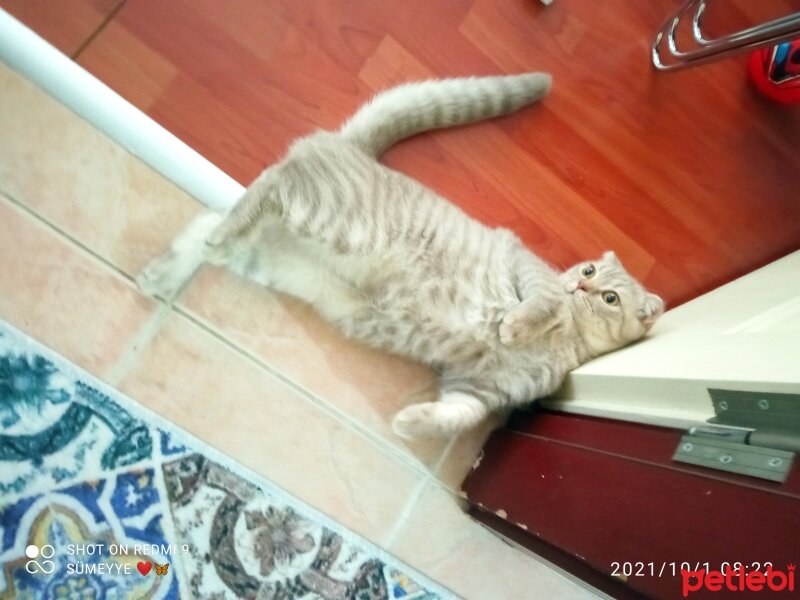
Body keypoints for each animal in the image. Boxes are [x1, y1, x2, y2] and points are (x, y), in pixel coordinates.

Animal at [138, 74, 664, 440]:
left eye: (611, 297)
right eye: (589, 271)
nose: (582, 285)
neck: (565, 343)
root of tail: (356, 149)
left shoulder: (481, 386)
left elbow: (457, 415)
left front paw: (413, 422)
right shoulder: (525, 265)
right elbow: (540, 301)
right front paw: (517, 324)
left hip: (273, 258)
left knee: (208, 225)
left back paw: (162, 275)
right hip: (332, 219)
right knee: (271, 183)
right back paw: (219, 236)